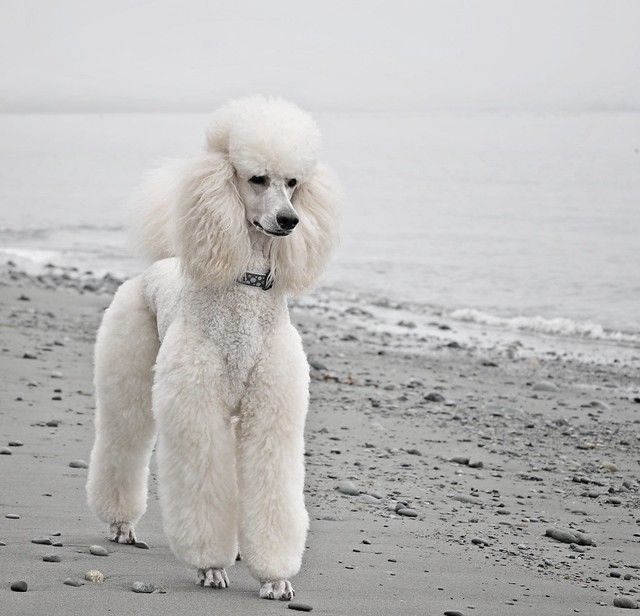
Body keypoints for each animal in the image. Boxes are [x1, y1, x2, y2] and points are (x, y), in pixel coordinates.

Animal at [87, 96, 342, 600]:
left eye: (293, 182)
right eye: (256, 178)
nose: (289, 220)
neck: (244, 289)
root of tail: (163, 262)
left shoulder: (271, 414)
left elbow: (271, 488)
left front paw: (275, 578)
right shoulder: (197, 408)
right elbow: (202, 486)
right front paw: (210, 568)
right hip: (129, 371)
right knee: (122, 440)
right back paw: (122, 524)